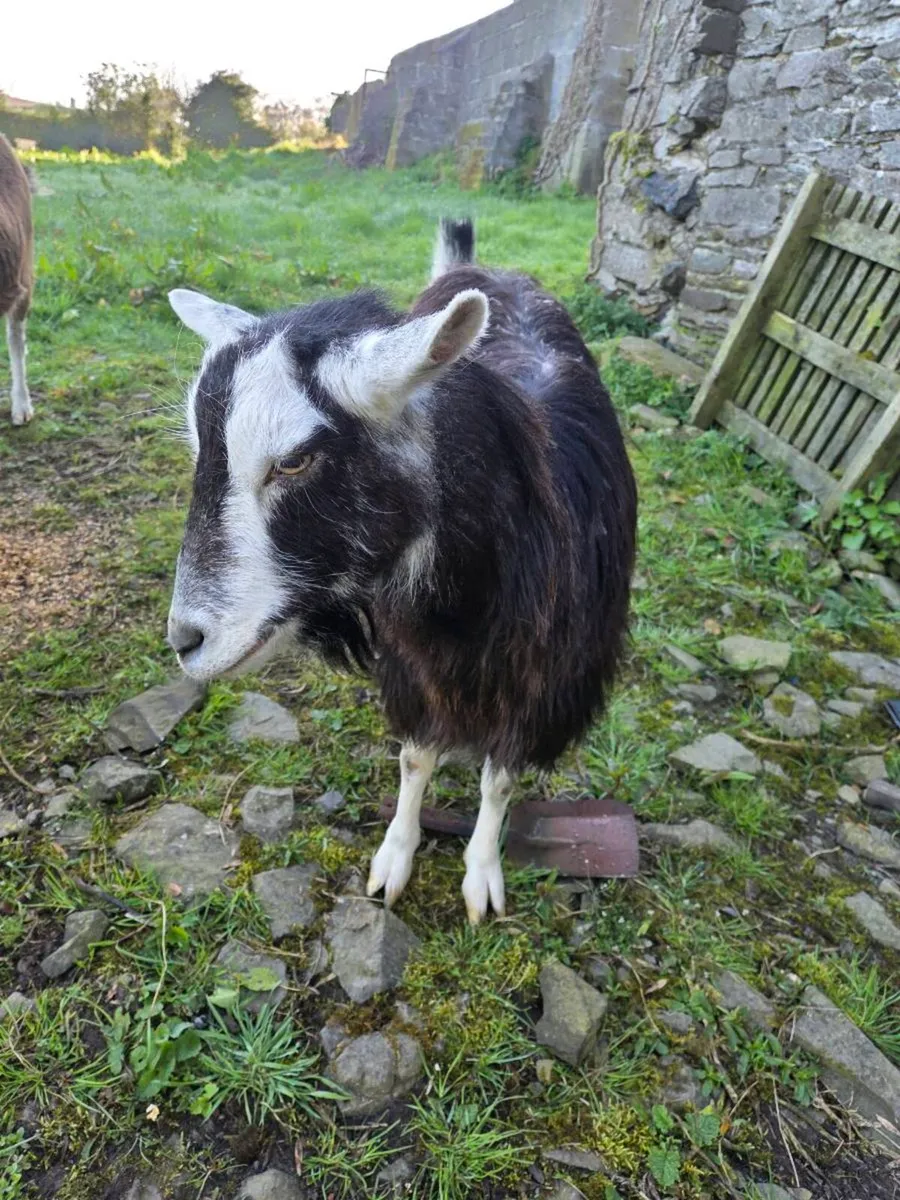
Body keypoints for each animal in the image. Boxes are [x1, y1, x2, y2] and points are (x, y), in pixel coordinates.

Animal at [166, 218, 637, 922]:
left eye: (295, 460)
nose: (184, 640)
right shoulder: (414, 662)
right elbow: (416, 758)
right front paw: (395, 857)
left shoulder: (542, 681)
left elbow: (499, 780)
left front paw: (481, 874)